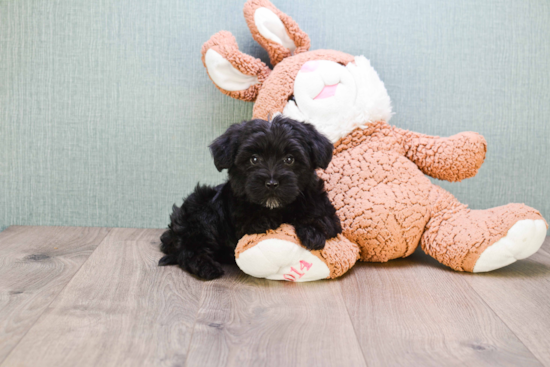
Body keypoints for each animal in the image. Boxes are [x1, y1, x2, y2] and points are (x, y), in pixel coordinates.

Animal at [157, 116, 342, 280]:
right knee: (189, 250)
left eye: (289, 159)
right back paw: (207, 268)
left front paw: (313, 232)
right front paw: (263, 220)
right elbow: (250, 221)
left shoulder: (323, 207)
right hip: (200, 210)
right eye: (254, 159)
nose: (272, 183)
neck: (276, 207)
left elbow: (322, 218)